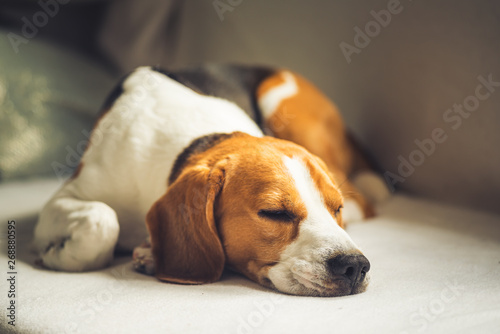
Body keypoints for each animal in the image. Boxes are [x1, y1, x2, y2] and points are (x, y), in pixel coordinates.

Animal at [33, 65, 388, 298]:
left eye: (335, 208)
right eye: (274, 213)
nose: (355, 266)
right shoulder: (67, 195)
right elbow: (102, 220)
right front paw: (58, 255)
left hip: (279, 101)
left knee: (365, 203)